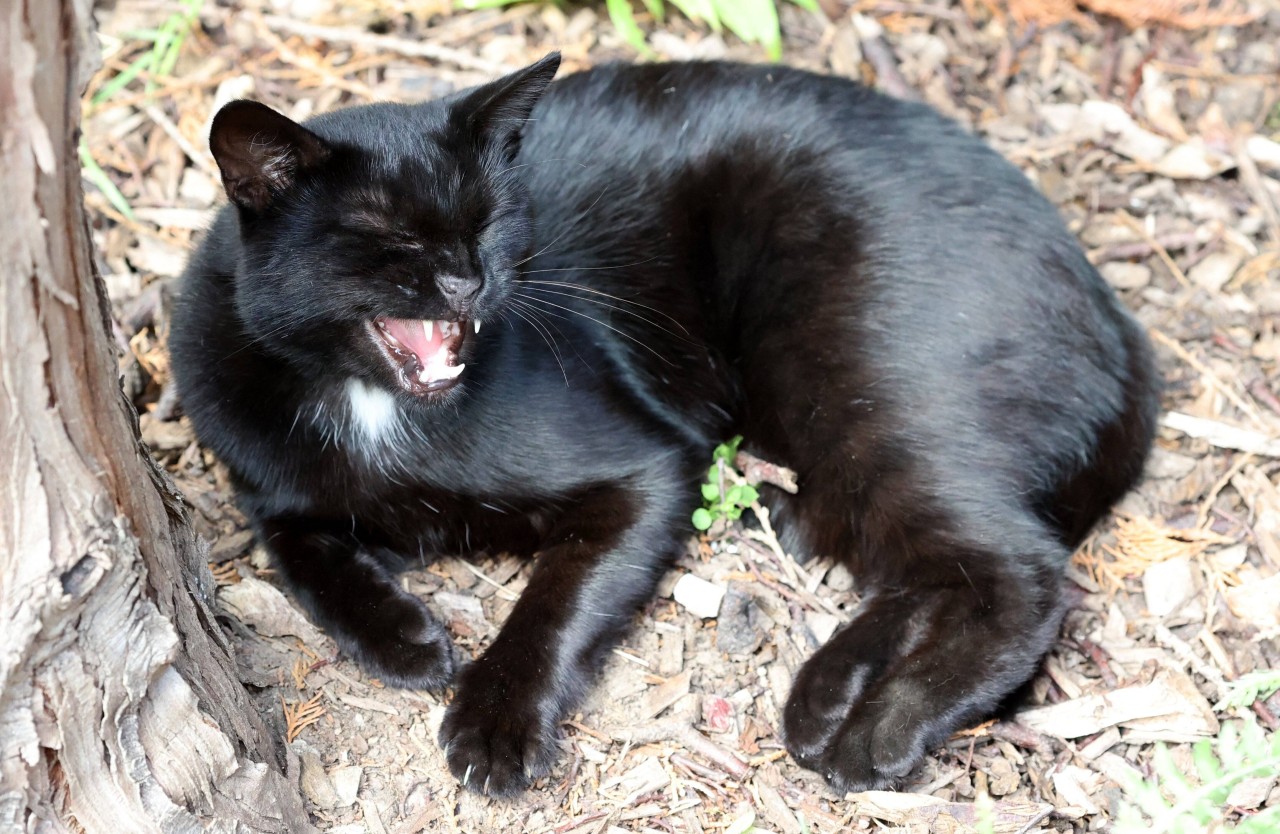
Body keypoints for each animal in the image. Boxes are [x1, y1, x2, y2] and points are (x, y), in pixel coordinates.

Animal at [170, 55, 1162, 798]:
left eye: (489, 220)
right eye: (387, 237)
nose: (466, 280)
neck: (372, 406)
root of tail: (1122, 326)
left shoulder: (647, 468)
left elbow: (557, 600)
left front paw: (495, 723)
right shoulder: (266, 490)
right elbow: (301, 556)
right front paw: (406, 641)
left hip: (863, 384)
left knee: (1020, 573)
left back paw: (876, 729)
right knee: (928, 565)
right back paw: (823, 699)